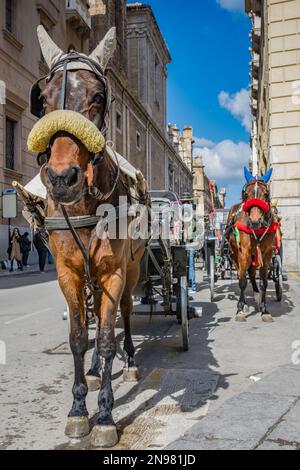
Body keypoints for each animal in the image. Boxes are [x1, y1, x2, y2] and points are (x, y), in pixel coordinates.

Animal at [34, 26, 146, 448]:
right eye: (43, 99)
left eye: (98, 97)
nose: (61, 178)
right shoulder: (68, 273)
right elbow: (81, 338)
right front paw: (79, 408)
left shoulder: (114, 272)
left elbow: (108, 336)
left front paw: (105, 416)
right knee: (97, 316)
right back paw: (98, 370)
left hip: (132, 269)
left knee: (124, 315)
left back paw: (128, 362)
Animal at [227, 169, 278, 324]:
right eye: (246, 194)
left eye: (266, 194)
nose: (255, 221)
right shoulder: (243, 253)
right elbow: (242, 282)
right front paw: (240, 310)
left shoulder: (266, 255)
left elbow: (264, 282)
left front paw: (264, 310)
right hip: (236, 254)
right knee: (241, 274)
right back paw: (244, 303)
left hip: (255, 255)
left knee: (251, 273)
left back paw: (256, 297)